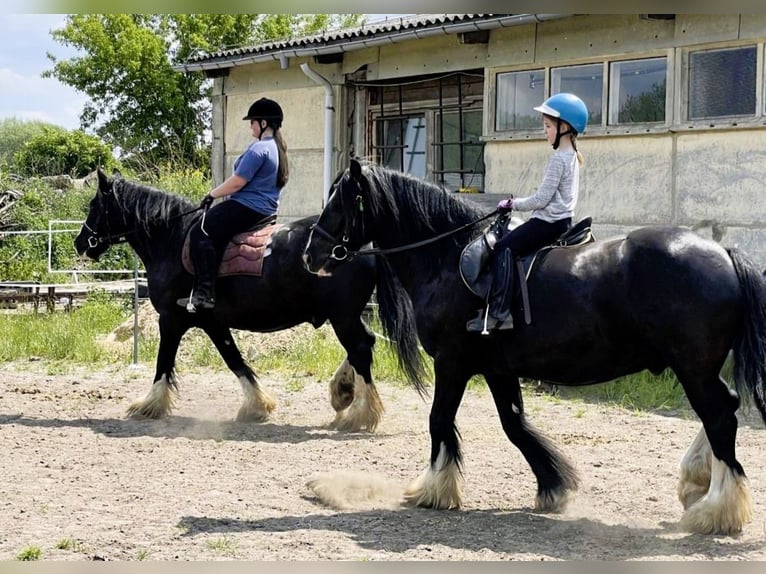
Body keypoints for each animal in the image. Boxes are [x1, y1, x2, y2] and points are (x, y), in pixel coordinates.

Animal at [74, 168, 383, 432]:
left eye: (93, 206)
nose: (80, 243)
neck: (173, 240)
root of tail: (357, 247)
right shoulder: (213, 323)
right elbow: (235, 360)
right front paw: (257, 406)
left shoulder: (171, 319)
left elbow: (164, 362)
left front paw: (149, 404)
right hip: (345, 316)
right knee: (366, 343)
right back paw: (342, 391)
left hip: (342, 317)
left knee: (360, 348)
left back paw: (359, 413)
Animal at [303, 158, 766, 534]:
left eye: (341, 202)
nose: (310, 254)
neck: (446, 258)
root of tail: (724, 253)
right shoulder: (497, 369)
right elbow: (515, 425)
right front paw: (553, 485)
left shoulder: (453, 363)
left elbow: (439, 420)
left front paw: (433, 489)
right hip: (698, 367)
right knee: (724, 408)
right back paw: (697, 483)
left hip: (693, 367)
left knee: (719, 417)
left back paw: (716, 509)